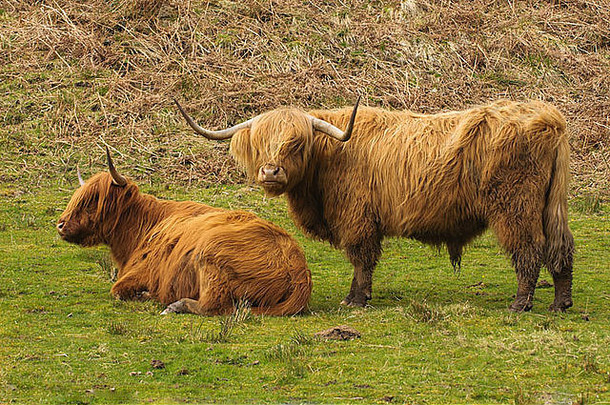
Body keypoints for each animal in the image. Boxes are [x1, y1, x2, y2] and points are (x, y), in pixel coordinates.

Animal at [56, 148, 312, 316]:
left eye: (93, 202)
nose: (60, 224)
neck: (144, 226)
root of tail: (298, 269)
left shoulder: (139, 274)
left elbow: (117, 290)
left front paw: (145, 294)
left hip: (210, 256)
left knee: (213, 306)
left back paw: (174, 305)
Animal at [177, 98, 576, 312]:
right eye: (261, 143)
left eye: (297, 143)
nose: (270, 171)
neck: (329, 158)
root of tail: (550, 118)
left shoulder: (357, 218)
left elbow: (361, 258)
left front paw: (356, 299)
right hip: (549, 207)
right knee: (561, 249)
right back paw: (560, 303)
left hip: (515, 207)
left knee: (529, 250)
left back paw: (520, 303)